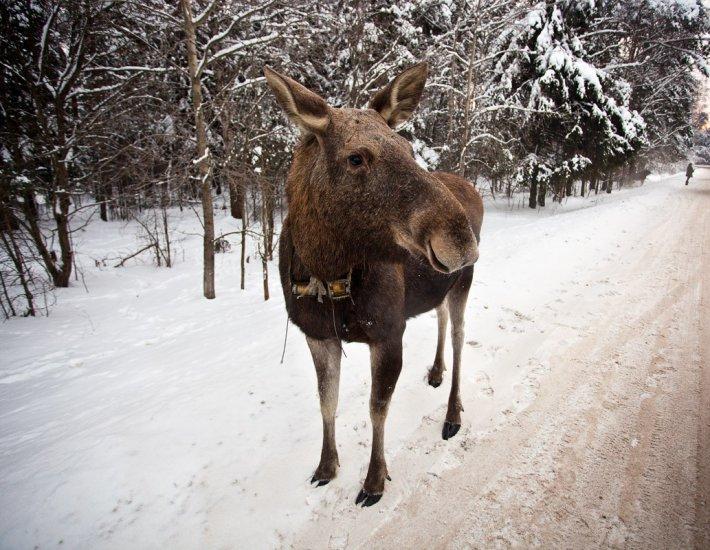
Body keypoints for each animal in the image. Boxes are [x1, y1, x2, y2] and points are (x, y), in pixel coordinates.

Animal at [264, 62, 483, 507]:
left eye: (409, 149)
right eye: (355, 157)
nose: (461, 240)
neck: (327, 273)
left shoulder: (387, 332)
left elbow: (376, 408)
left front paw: (374, 481)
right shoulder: (318, 335)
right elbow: (326, 401)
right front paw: (326, 467)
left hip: (463, 284)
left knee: (459, 336)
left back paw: (452, 414)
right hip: (440, 285)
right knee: (440, 318)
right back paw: (435, 371)